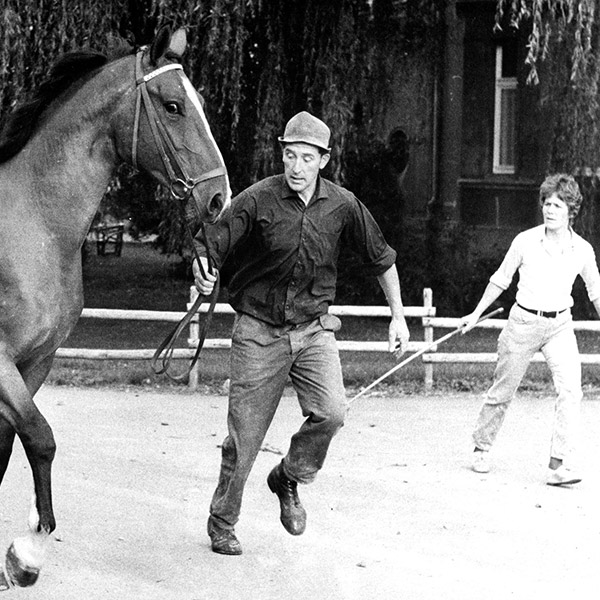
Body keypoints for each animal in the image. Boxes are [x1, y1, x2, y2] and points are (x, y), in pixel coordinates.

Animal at [0, 25, 230, 588]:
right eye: (173, 106)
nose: (220, 198)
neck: (32, 227)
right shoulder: (1, 362)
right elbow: (40, 438)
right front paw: (28, 553)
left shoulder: (36, 362)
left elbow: (11, 444)